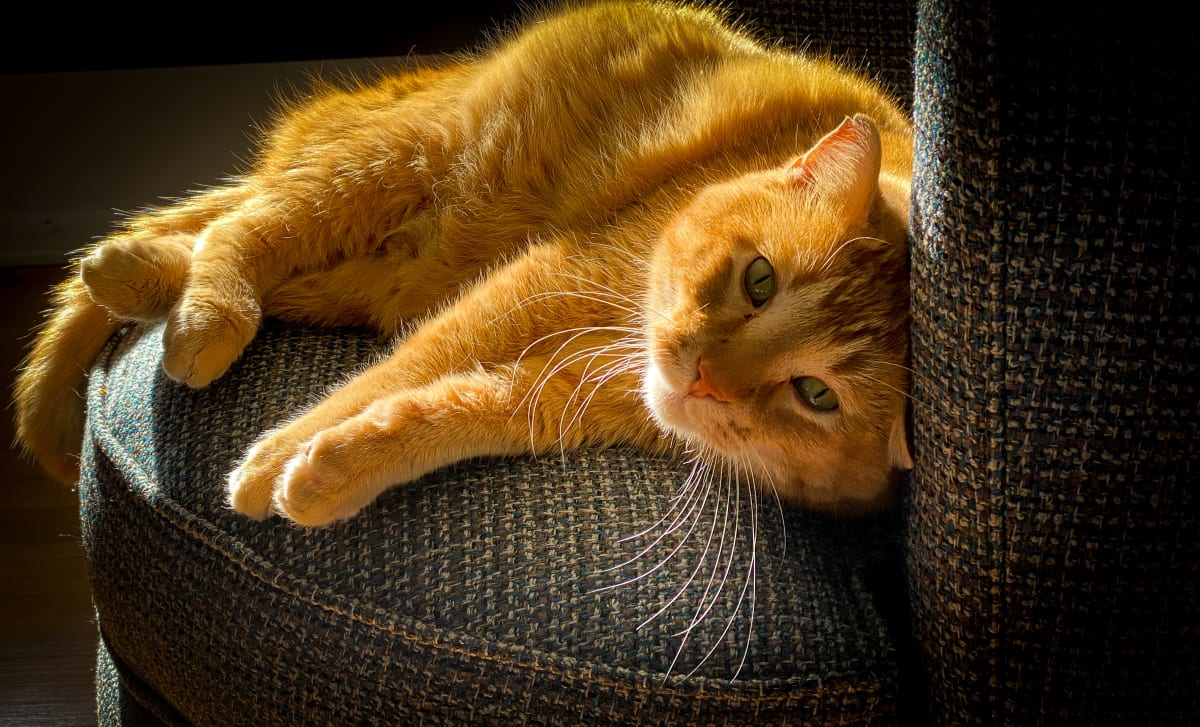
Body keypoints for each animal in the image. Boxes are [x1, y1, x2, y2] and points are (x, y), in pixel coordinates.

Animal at [9, 0, 912, 523]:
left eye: (816, 395)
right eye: (760, 280)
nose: (703, 378)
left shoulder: (551, 394)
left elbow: (439, 413)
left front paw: (329, 471)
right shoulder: (538, 283)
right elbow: (398, 370)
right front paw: (271, 461)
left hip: (375, 269)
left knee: (237, 241)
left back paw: (129, 271)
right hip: (404, 161)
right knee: (250, 225)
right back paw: (198, 313)